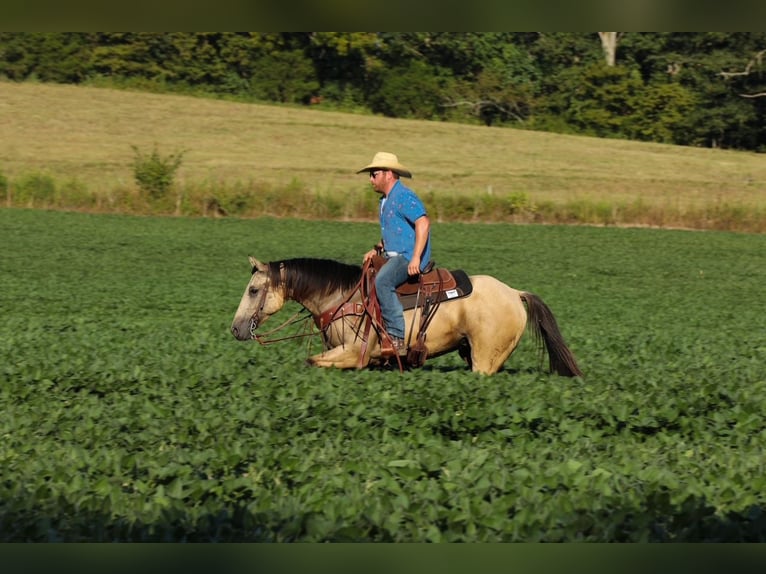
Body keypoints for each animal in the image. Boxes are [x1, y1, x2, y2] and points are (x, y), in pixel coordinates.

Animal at [230, 256, 582, 377]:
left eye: (253, 290)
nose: (235, 329)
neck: (343, 298)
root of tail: (515, 293)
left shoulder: (352, 354)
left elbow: (311, 362)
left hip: (484, 360)